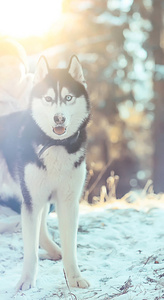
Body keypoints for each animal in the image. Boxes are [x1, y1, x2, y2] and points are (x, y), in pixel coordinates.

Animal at [0, 55, 89, 290]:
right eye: (48, 99)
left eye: (68, 97)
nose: (59, 118)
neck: (55, 145)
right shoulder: (33, 196)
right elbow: (30, 249)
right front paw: (26, 281)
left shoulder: (67, 201)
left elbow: (70, 246)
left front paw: (74, 277)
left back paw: (54, 250)